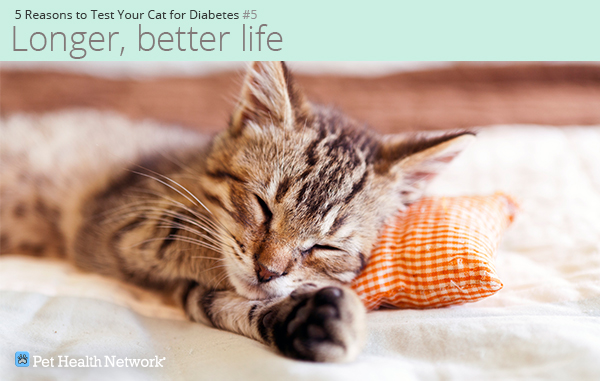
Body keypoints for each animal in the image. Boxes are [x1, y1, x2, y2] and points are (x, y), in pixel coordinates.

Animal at [2, 60, 476, 360]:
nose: (268, 271)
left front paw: (306, 315)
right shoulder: (114, 218)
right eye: (263, 207)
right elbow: (185, 240)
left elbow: (220, 302)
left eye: (325, 247)